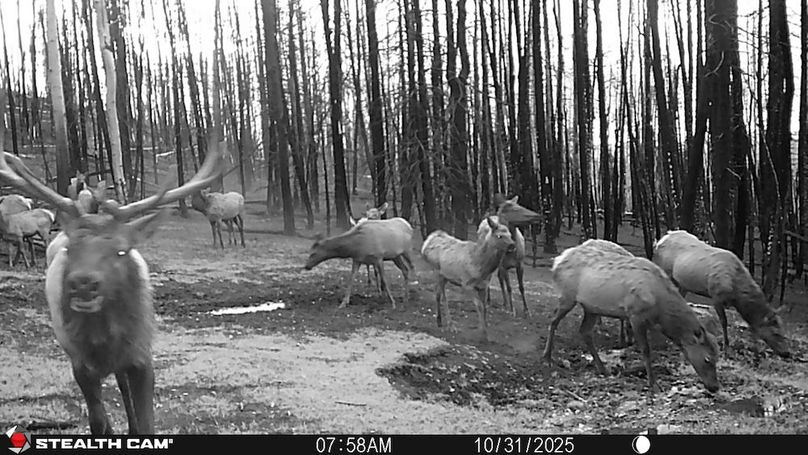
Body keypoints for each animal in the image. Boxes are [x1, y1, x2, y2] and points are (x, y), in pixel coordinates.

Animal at [0, 147, 223, 434]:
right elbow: (96, 420)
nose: (83, 283)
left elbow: (147, 421)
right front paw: (107, 428)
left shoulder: (141, 355)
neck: (103, 341)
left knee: (122, 385)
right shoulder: (79, 363)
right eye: (71, 248)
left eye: (121, 250)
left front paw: (138, 428)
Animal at [543, 239, 720, 393]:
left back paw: (603, 369)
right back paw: (547, 358)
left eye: (718, 358)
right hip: (567, 296)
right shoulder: (635, 314)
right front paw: (653, 384)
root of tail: (557, 261)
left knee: (584, 331)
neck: (659, 309)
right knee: (553, 321)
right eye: (707, 359)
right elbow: (646, 350)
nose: (715, 387)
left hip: (591, 307)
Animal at [652, 230, 790, 357]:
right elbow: (724, 322)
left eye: (784, 332)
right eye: (776, 333)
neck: (736, 294)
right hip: (664, 269)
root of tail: (660, 240)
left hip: (683, 283)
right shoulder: (716, 296)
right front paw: (726, 347)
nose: (787, 353)